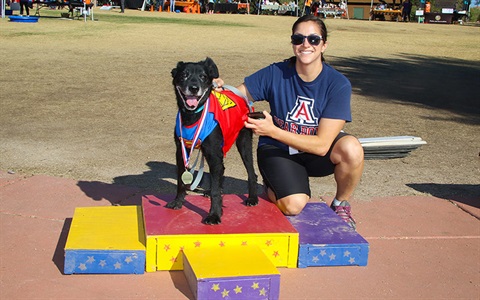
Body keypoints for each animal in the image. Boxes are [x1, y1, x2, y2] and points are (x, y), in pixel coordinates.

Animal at [168, 57, 258, 224]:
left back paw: (252, 198)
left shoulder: (214, 153)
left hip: (243, 142)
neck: (193, 116)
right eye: (184, 75)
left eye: (203, 76)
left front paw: (214, 215)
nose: (194, 88)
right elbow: (180, 180)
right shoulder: (181, 151)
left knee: (251, 172)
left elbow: (216, 190)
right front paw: (178, 201)